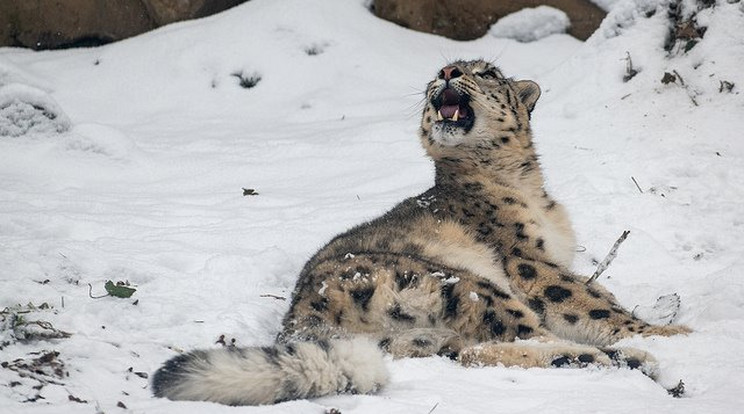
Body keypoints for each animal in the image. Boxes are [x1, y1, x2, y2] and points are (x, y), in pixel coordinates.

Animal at [151, 59, 692, 406]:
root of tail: (300, 320)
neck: (523, 184)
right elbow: (592, 300)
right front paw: (675, 333)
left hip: (433, 330)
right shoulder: (529, 263)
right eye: (442, 71)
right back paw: (631, 357)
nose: (448, 74)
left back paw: (614, 362)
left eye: (485, 72)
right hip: (464, 282)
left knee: (481, 351)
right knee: (514, 337)